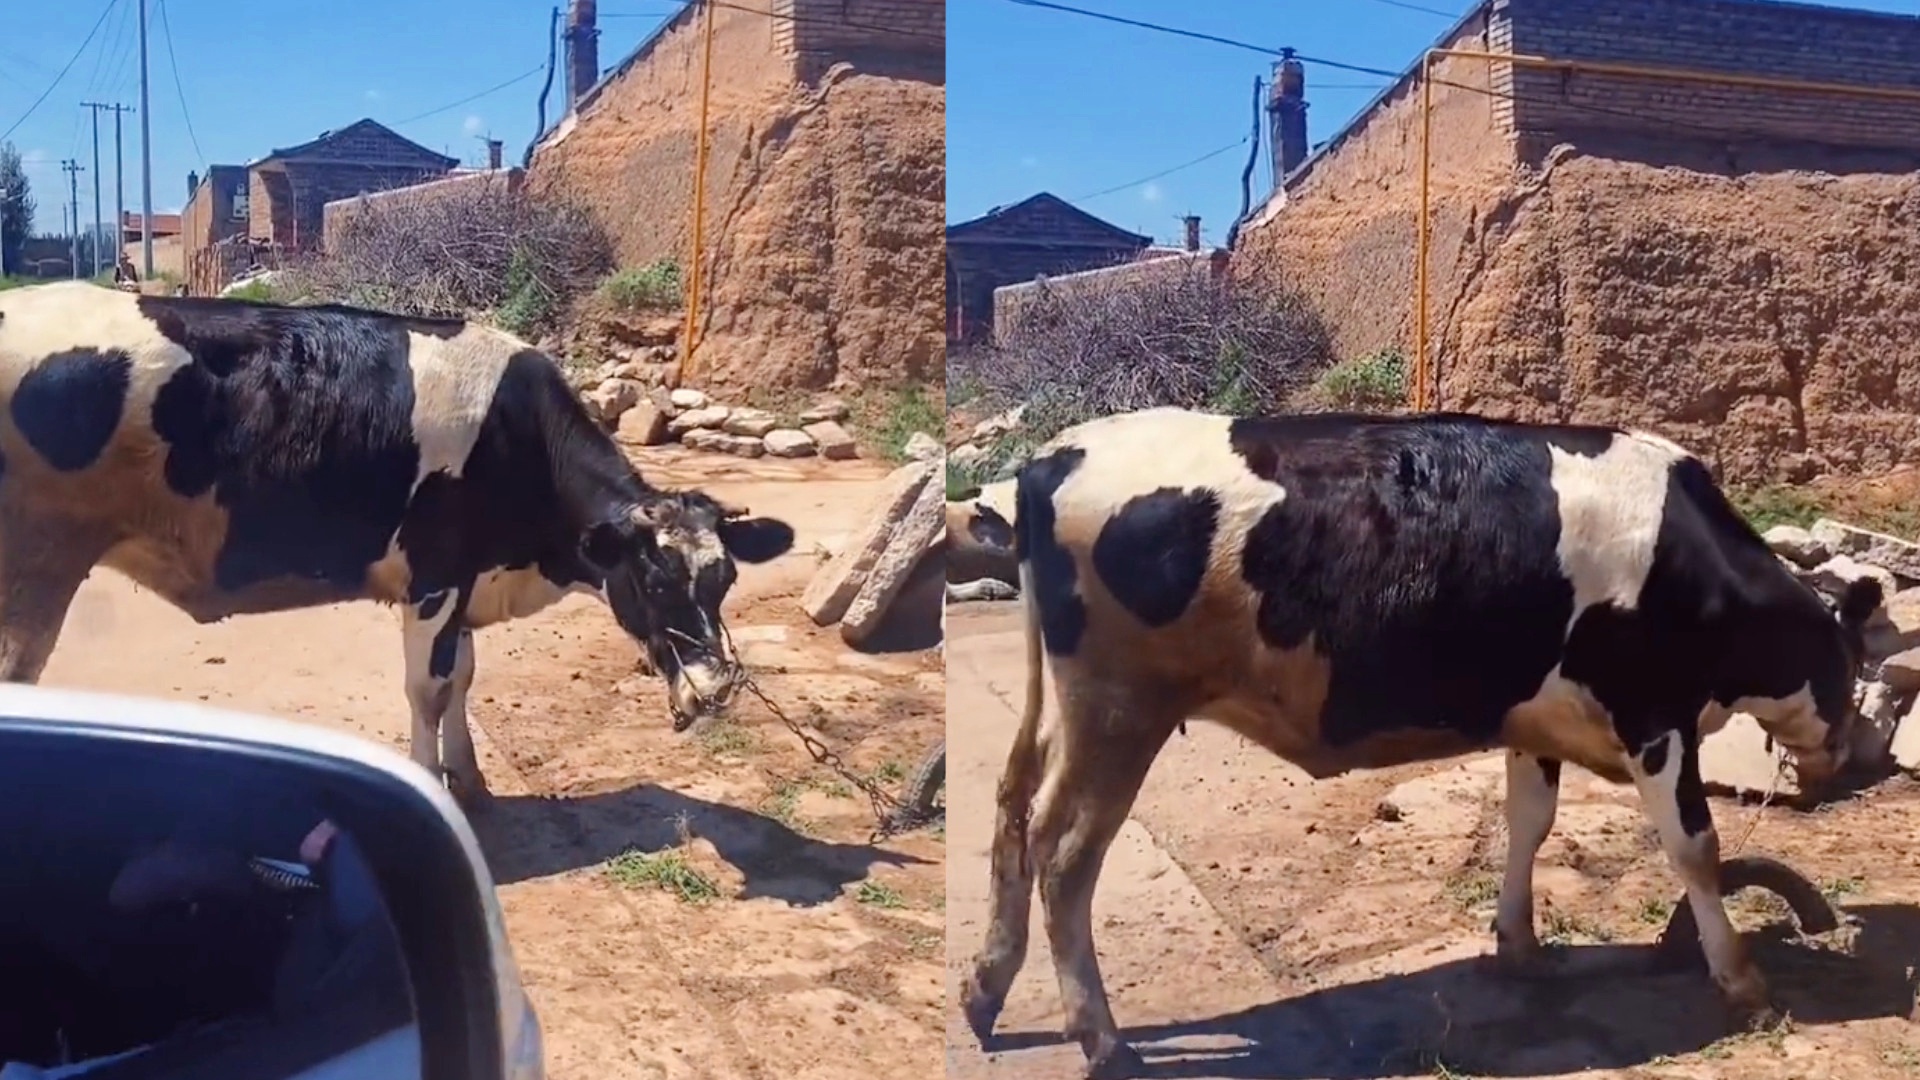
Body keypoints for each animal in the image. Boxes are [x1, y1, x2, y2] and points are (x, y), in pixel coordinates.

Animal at [0, 282, 794, 803]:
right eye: (656, 582)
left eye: (724, 581)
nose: (716, 689)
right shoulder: (434, 575)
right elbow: (427, 691)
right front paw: (437, 780)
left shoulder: (467, 576)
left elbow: (463, 678)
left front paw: (470, 780)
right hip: (32, 569)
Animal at [960, 405, 1873, 1076]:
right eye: (1851, 673)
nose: (1850, 759)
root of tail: (1057, 454)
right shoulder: (1656, 716)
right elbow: (1696, 849)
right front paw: (1742, 981)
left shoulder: (1532, 718)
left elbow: (1528, 824)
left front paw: (1520, 948)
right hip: (1120, 711)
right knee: (1064, 854)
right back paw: (1103, 1040)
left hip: (1069, 706)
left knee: (1011, 807)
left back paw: (985, 992)